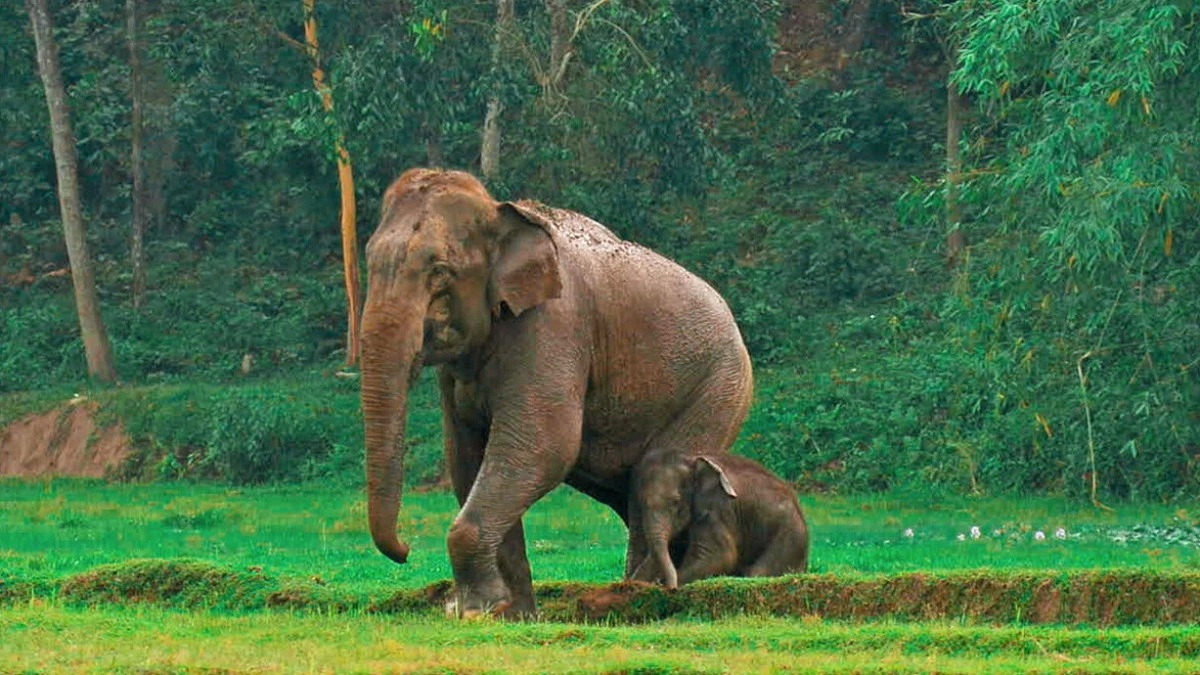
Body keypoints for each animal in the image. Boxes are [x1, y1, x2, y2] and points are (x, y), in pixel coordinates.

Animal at [359, 168, 753, 617]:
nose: (406, 550)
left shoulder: (554, 325)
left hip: (718, 390)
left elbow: (542, 445)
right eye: (369, 262)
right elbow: (467, 455)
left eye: (440, 270)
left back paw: (637, 596)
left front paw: (474, 610)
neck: (499, 212)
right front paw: (512, 614)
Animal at [631, 454, 809, 587]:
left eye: (675, 501)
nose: (668, 586)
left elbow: (720, 556)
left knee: (758, 571)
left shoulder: (716, 510)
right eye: (640, 504)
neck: (690, 459)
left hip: (789, 536)